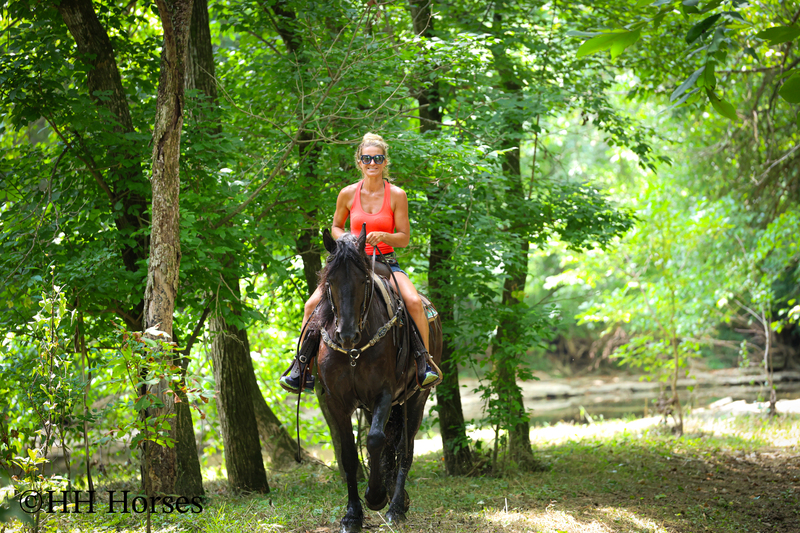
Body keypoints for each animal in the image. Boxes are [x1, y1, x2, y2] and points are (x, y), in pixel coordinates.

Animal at [313, 225, 442, 533]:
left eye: (364, 280)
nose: (347, 335)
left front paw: (376, 497)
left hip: (415, 399)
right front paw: (352, 515)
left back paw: (395, 507)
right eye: (330, 280)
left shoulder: (384, 393)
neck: (354, 351)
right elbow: (349, 455)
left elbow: (373, 440)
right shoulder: (337, 401)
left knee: (405, 450)